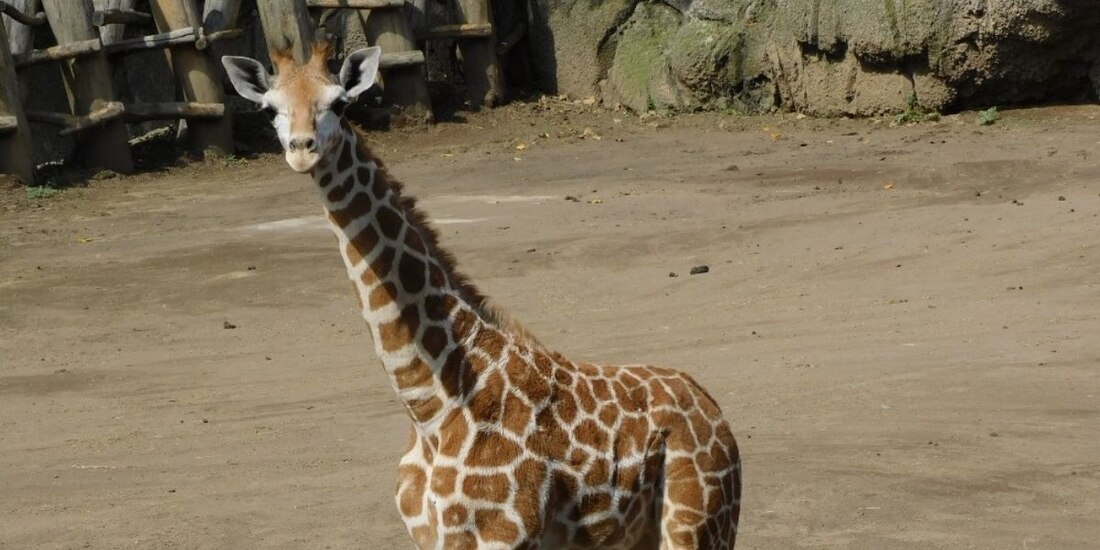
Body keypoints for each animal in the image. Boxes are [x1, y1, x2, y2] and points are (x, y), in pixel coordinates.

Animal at [222, 42, 742, 549]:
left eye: (339, 103)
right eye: (271, 108)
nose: (302, 149)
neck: (430, 406)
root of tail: (714, 410)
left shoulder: (499, 536)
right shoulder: (432, 538)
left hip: (697, 525)